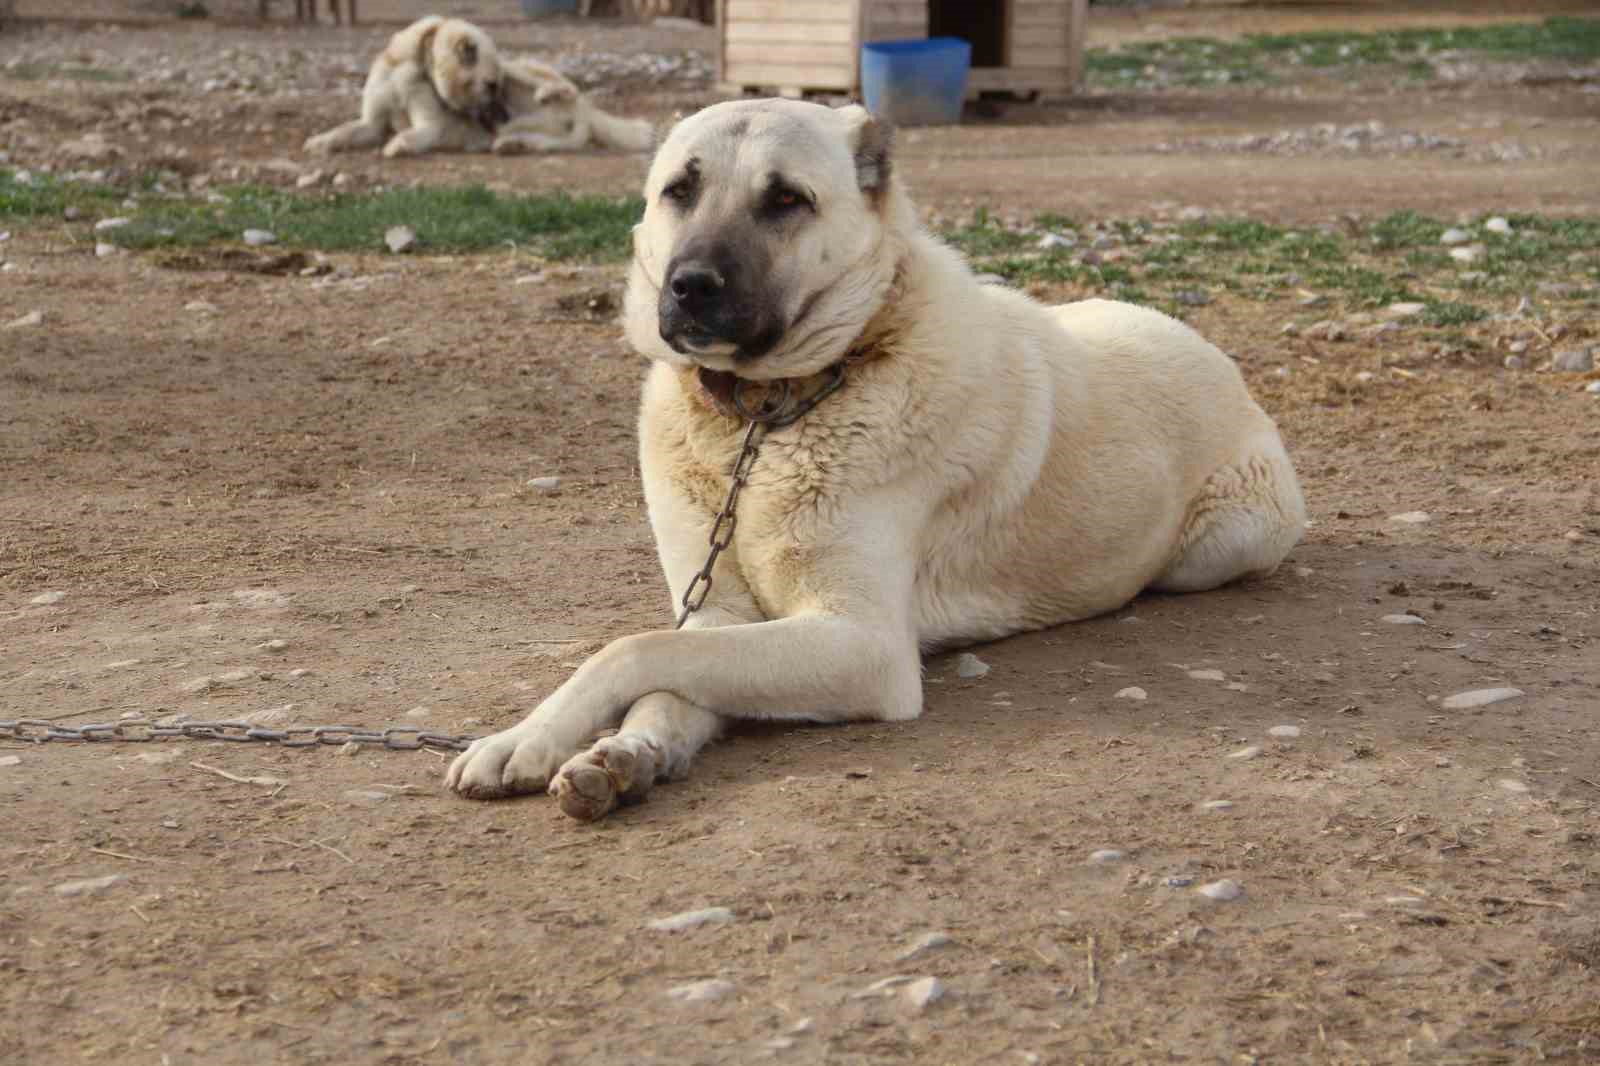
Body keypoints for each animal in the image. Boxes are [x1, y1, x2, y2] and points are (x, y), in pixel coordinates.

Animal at [299, 15, 499, 157]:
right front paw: (318, 142)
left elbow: (418, 131)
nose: (495, 117)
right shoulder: (377, 109)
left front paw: (394, 146)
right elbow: (348, 129)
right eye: (491, 85)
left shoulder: (429, 119)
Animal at [444, 99, 1305, 816]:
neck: (761, 426)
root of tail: (1210, 350)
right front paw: (619, 754)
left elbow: (629, 649)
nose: (690, 286)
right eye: (678, 191)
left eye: (786, 200)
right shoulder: (717, 615)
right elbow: (667, 677)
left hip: (1218, 547)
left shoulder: (862, 645)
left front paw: (530, 737)